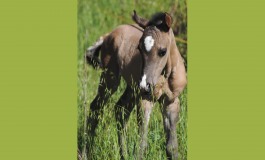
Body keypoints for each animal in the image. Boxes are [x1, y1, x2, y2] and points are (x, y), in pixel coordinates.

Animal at [84, 10, 186, 159]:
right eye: (139, 48)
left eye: (162, 51)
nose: (145, 85)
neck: (166, 76)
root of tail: (108, 35)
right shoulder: (146, 99)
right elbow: (142, 145)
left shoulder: (171, 101)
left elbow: (171, 147)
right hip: (111, 78)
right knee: (96, 106)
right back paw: (85, 153)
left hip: (132, 88)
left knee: (120, 109)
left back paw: (124, 155)